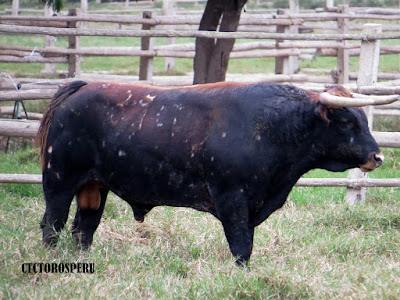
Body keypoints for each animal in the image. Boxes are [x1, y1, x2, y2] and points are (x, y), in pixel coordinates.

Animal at [37, 81, 394, 264]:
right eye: (347, 122)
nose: (377, 157)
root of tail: (80, 88)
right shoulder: (232, 199)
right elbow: (241, 244)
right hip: (59, 180)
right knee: (53, 223)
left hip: (94, 186)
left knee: (84, 227)